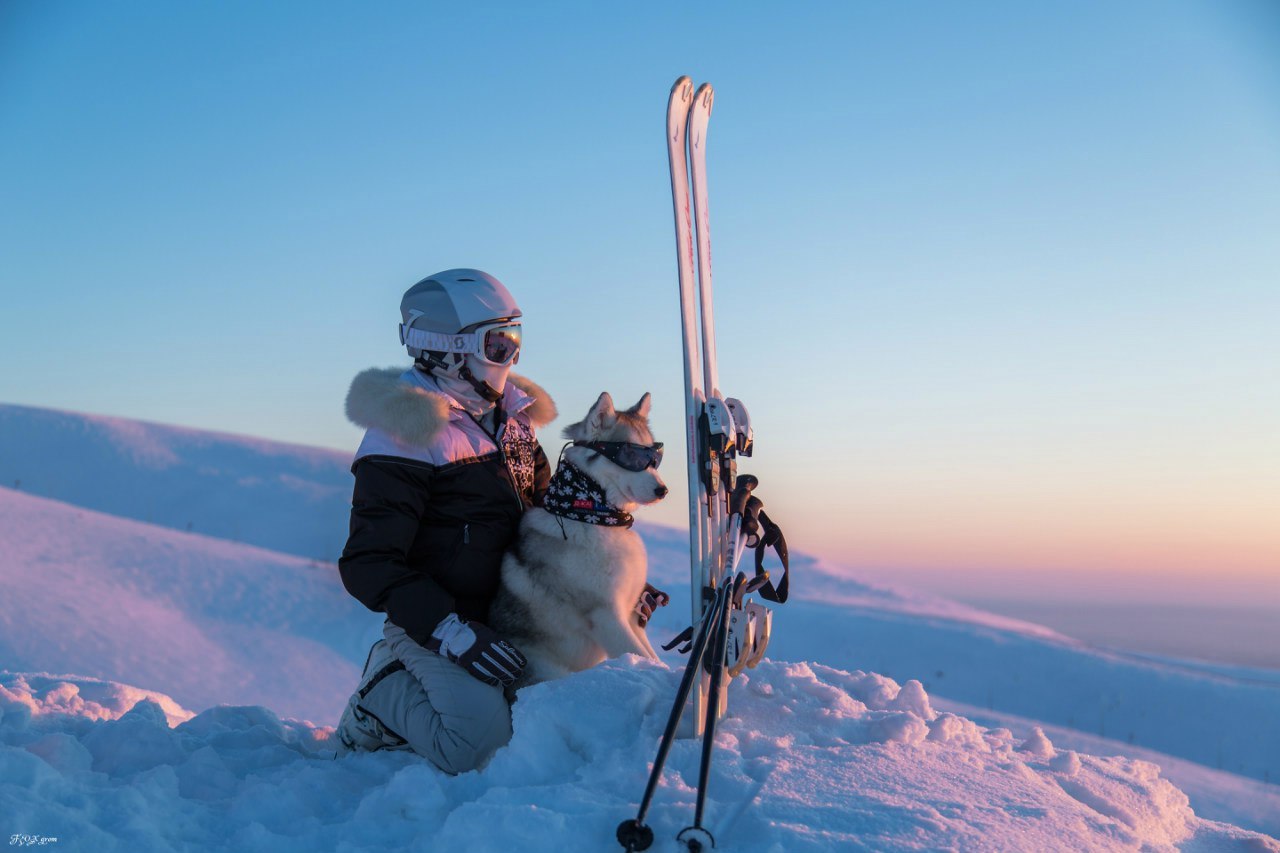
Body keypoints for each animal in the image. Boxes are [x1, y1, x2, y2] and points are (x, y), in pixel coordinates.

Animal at [488, 389, 670, 686]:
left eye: (654, 458)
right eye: (630, 455)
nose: (662, 490)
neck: (589, 514)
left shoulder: (631, 615)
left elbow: (650, 656)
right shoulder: (605, 615)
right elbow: (640, 655)